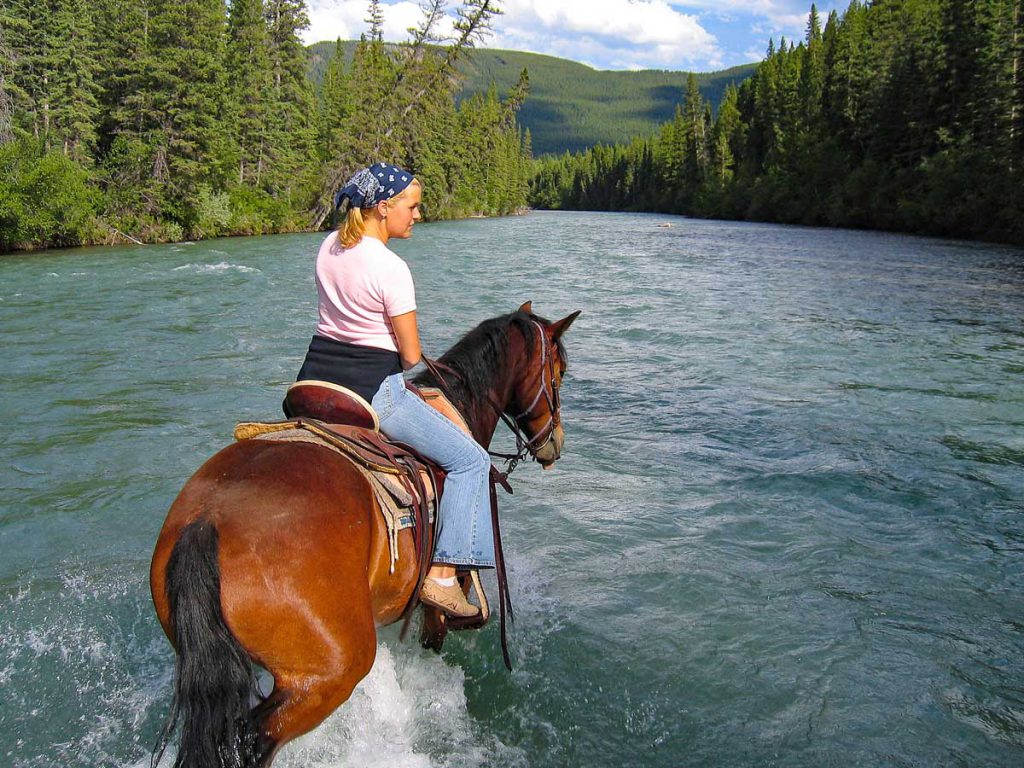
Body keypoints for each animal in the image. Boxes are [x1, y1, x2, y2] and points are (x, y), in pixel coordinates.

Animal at [149, 305, 581, 768]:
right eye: (559, 371)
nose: (554, 442)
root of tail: (207, 521)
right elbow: (445, 625)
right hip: (328, 675)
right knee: (253, 738)